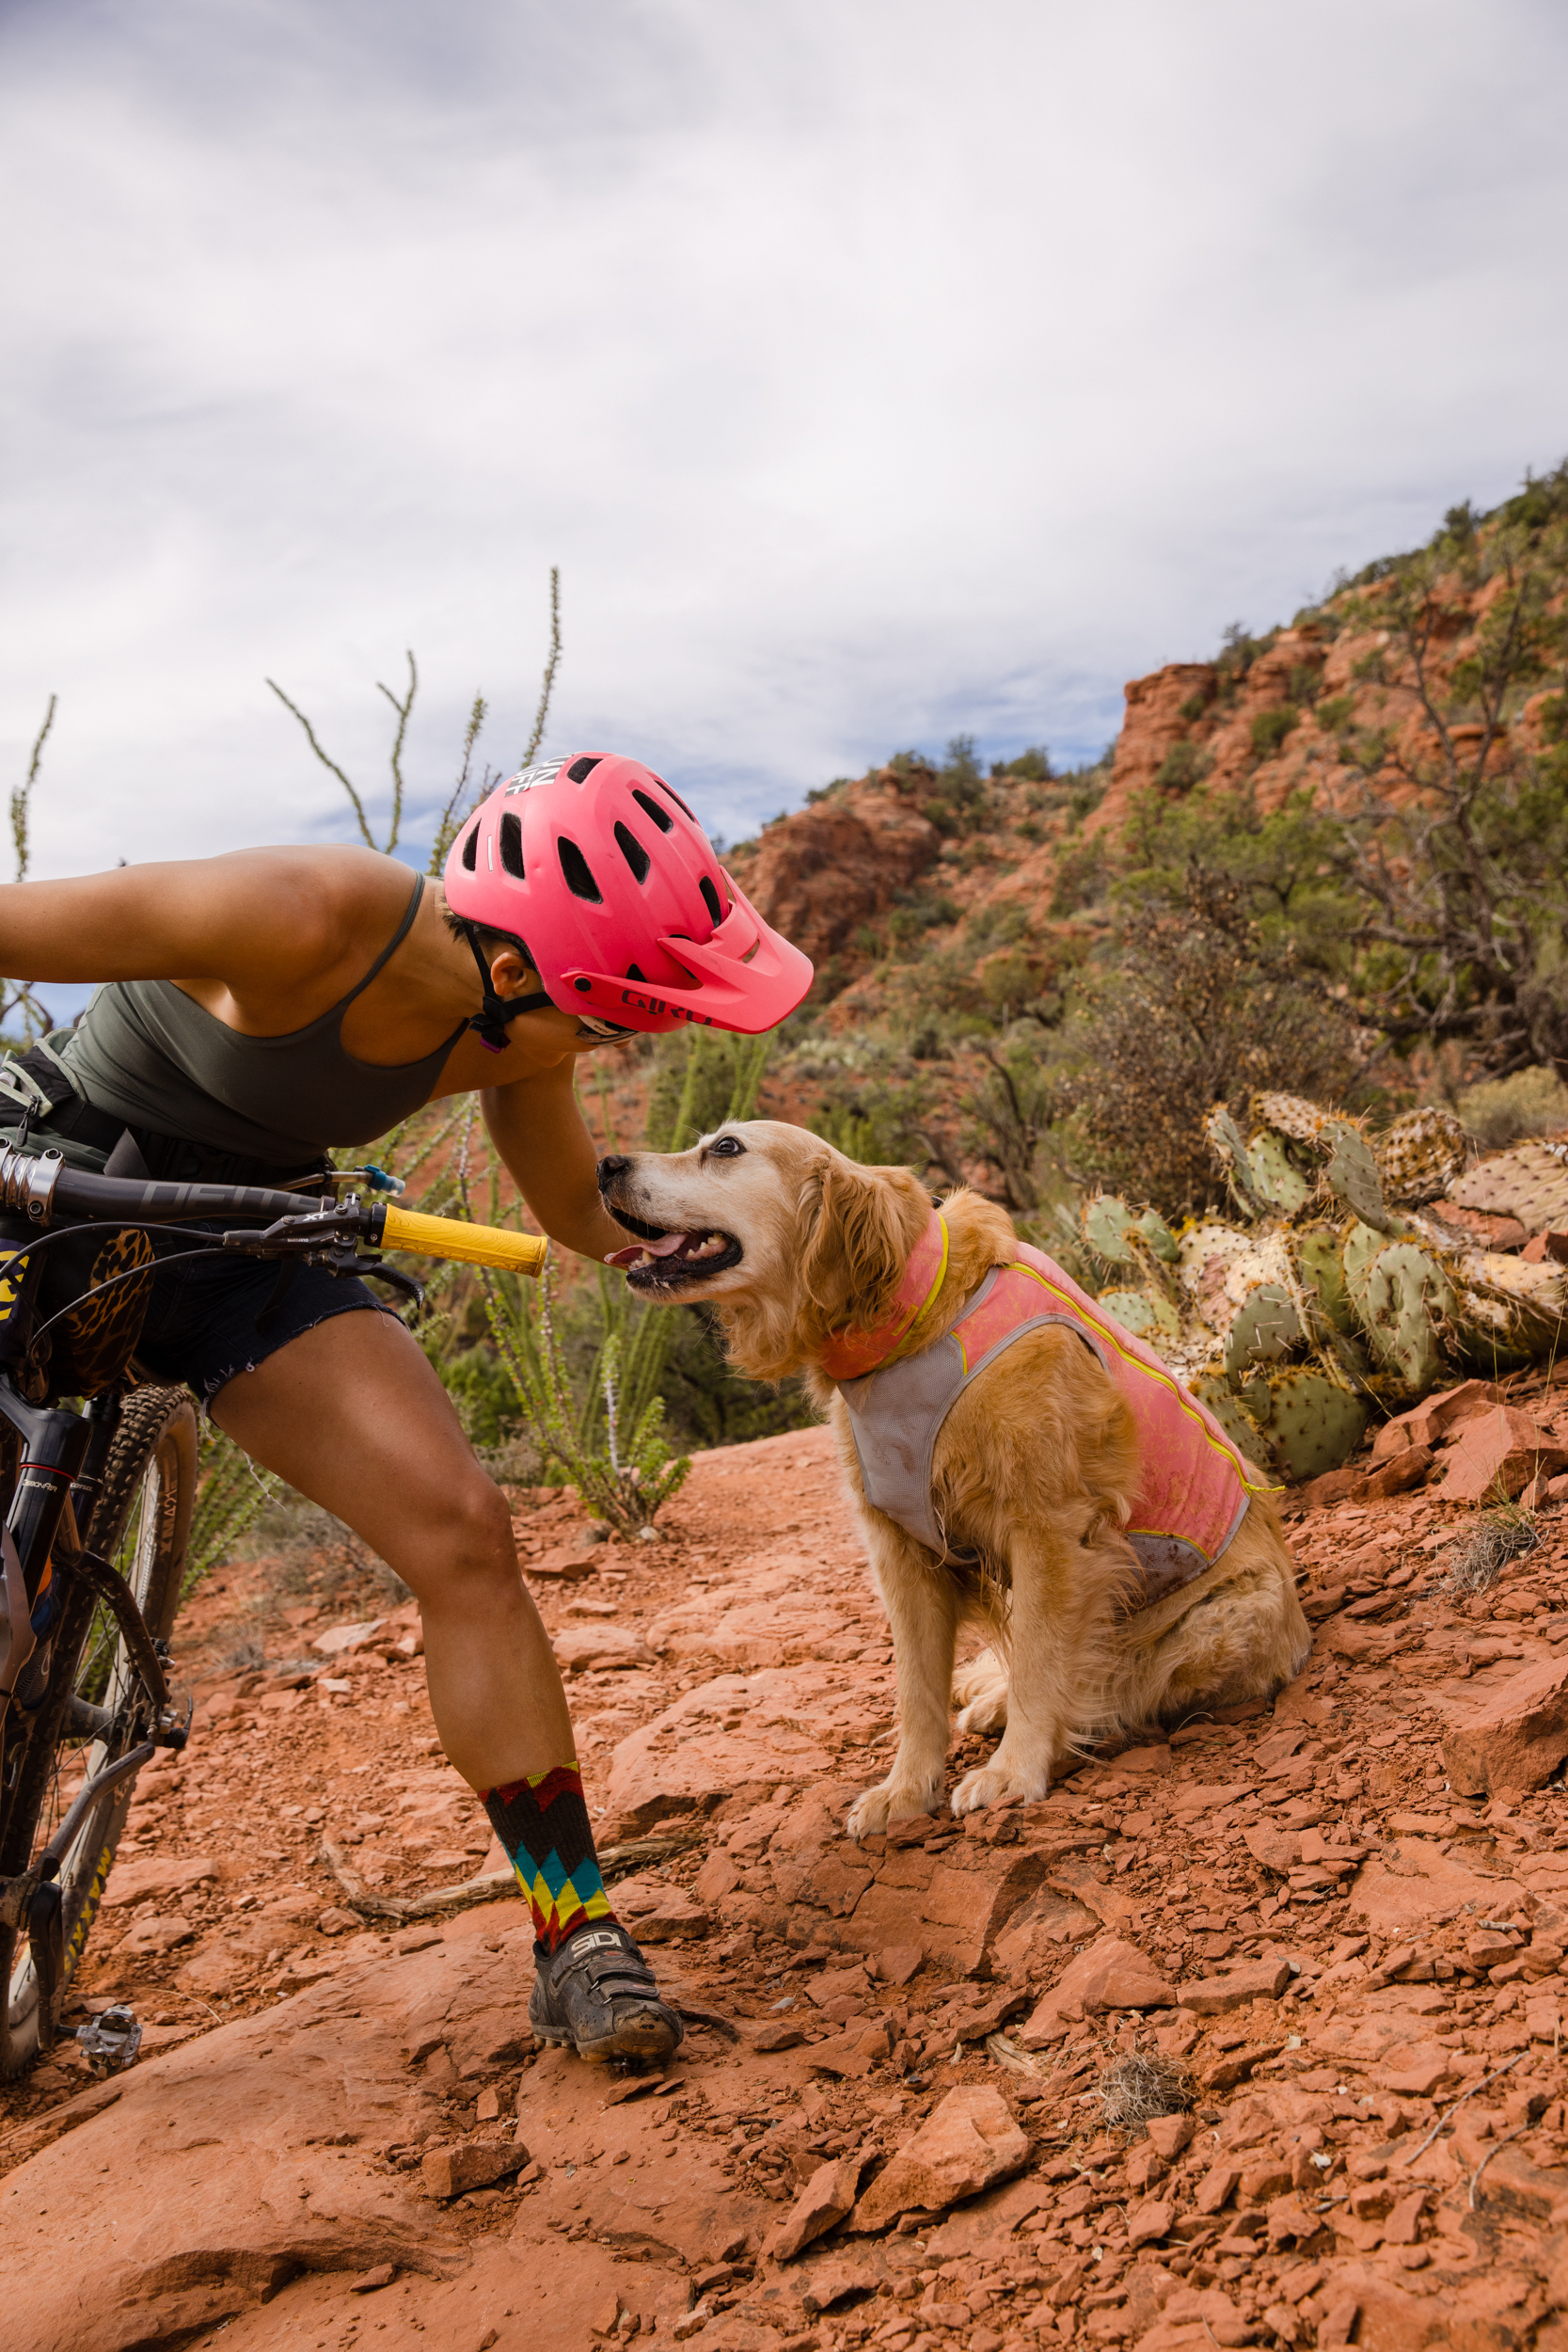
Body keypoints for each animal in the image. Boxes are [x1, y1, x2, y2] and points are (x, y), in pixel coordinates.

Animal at [601, 1124, 1316, 1835]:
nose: (605, 1163)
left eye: (725, 1147)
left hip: (1222, 1620)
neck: (910, 1313)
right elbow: (918, 1690)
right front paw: (904, 1789)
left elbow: (1041, 1663)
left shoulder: (1051, 1532)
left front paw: (1013, 1769)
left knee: (1116, 1682)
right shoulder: (901, 1550)